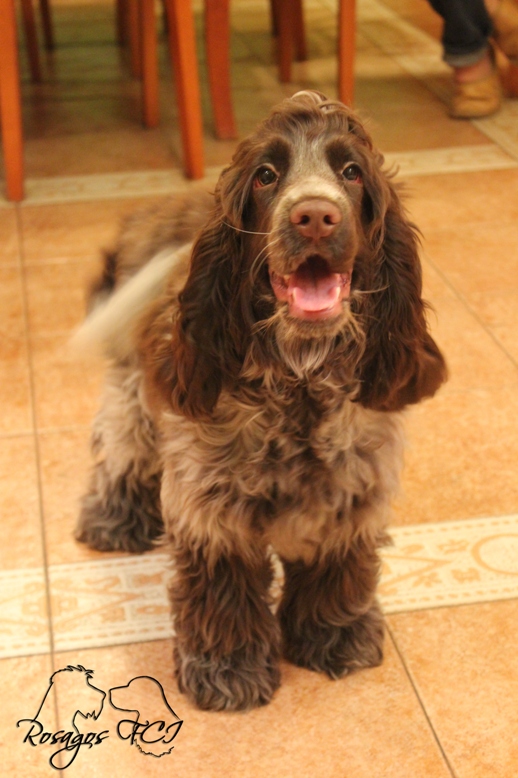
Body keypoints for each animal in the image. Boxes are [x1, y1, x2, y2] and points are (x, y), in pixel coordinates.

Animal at [75, 91, 447, 712]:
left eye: (351, 172)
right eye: (266, 176)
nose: (315, 216)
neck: (299, 389)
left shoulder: (352, 491)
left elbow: (336, 567)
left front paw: (334, 635)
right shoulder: (210, 508)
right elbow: (224, 593)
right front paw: (229, 669)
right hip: (134, 387)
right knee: (122, 444)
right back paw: (114, 517)